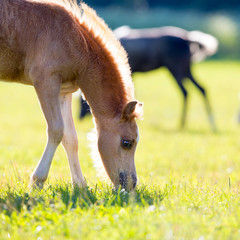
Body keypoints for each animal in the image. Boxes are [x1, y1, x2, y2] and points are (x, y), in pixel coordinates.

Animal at [0, 0, 142, 190]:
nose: (131, 183)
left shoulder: (63, 91)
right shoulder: (46, 81)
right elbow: (56, 130)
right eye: (127, 143)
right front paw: (37, 181)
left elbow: (70, 137)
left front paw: (80, 186)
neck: (77, 42)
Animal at [79, 25, 218, 130]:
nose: (79, 117)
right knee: (202, 88)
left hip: (176, 68)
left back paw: (182, 124)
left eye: (82, 103)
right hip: (186, 69)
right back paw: (211, 125)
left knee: (185, 91)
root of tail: (189, 39)